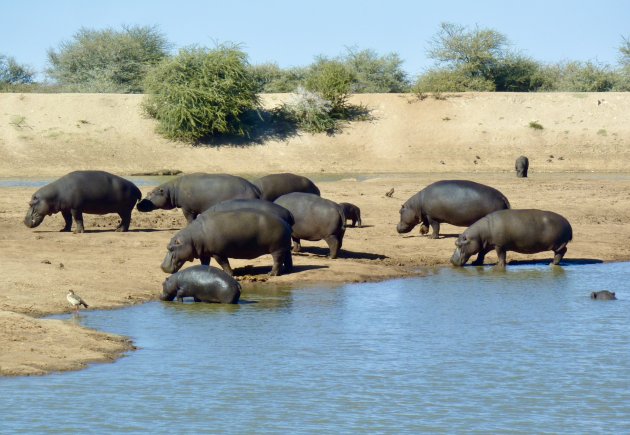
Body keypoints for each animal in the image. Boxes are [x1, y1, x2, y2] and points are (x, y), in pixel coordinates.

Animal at [160, 210, 294, 278]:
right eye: (167, 246)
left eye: (171, 248)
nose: (162, 267)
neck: (191, 239)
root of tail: (285, 222)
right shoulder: (205, 252)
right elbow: (205, 263)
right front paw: (204, 271)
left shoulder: (218, 253)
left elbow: (224, 263)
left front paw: (230, 274)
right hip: (284, 247)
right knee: (287, 258)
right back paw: (287, 270)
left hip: (277, 249)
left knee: (277, 261)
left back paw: (271, 274)